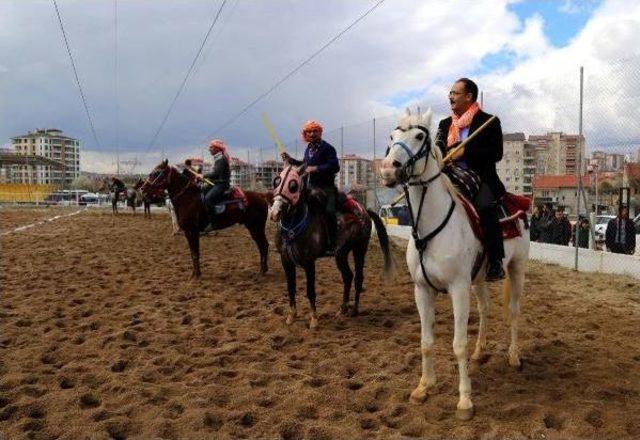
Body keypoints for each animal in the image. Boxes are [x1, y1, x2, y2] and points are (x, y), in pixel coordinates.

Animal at [268, 164, 392, 326]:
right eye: (277, 181)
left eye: (293, 185)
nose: (274, 212)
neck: (293, 228)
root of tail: (364, 210)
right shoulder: (286, 260)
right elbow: (291, 288)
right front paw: (291, 316)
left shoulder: (309, 262)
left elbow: (310, 290)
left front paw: (314, 319)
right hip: (341, 254)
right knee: (348, 276)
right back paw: (342, 309)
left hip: (360, 248)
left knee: (358, 278)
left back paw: (354, 310)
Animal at [380, 109, 528, 420]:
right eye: (392, 135)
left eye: (419, 136)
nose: (388, 169)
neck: (430, 227)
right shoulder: (422, 290)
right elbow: (426, 342)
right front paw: (423, 387)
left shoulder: (458, 289)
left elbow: (458, 345)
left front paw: (464, 401)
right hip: (481, 277)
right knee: (485, 309)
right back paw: (480, 352)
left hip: (517, 268)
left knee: (513, 312)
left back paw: (513, 356)